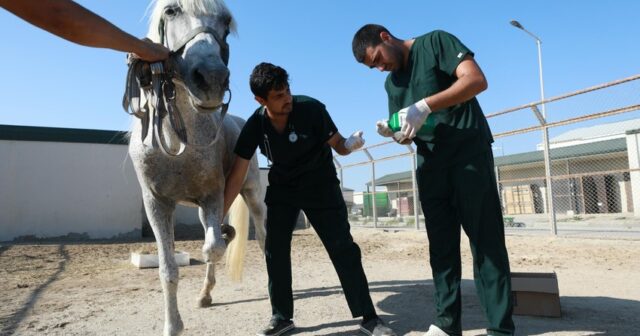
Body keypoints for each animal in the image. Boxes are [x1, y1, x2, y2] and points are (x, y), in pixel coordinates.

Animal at [122, 1, 264, 334]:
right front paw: (173, 325)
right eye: (171, 11)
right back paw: (205, 296)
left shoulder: (213, 195)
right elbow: (168, 269)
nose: (211, 78)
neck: (177, 143)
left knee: (264, 240)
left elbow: (213, 248)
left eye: (226, 22)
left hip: (253, 196)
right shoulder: (158, 204)